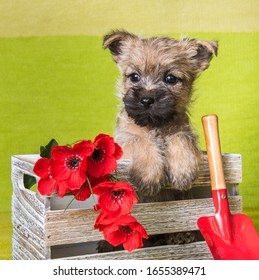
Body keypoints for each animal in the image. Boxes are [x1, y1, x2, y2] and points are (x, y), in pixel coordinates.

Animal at [102, 30, 218, 201]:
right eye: (134, 77)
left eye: (170, 78)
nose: (147, 100)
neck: (156, 126)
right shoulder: (123, 142)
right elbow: (140, 141)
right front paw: (149, 174)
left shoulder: (185, 132)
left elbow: (181, 138)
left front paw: (183, 169)